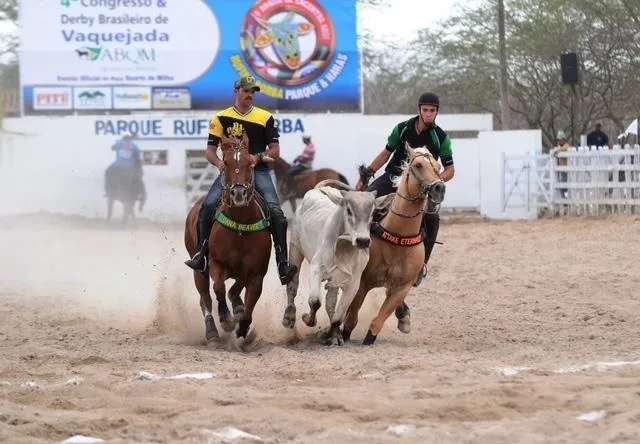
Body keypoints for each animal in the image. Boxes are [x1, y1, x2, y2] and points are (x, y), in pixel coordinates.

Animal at [185, 134, 276, 342]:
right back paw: (212, 332)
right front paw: (226, 319)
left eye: (249, 163)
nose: (239, 193)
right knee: (205, 298)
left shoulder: (255, 271)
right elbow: (219, 287)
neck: (240, 227)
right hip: (198, 265)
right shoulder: (216, 263)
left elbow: (248, 297)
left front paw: (241, 323)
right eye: (225, 162)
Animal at [282, 179, 392, 346]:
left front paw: (329, 335)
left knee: (330, 302)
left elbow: (337, 317)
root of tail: (318, 189)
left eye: (373, 213)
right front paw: (308, 319)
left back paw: (334, 335)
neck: (344, 249)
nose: (363, 241)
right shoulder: (316, 268)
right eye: (348, 210)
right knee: (292, 286)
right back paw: (289, 317)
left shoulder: (353, 283)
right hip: (295, 249)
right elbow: (315, 301)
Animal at [340, 144, 444, 346]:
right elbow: (352, 317)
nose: (439, 188)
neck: (398, 238)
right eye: (418, 165)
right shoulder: (363, 281)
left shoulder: (402, 287)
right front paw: (343, 335)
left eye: (437, 167)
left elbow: (378, 321)